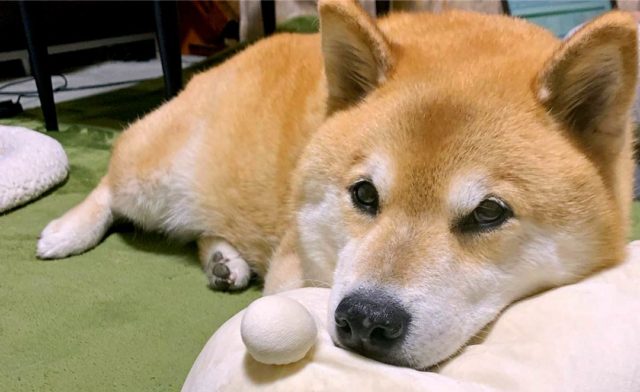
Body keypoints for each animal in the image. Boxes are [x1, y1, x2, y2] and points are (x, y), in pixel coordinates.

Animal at [37, 0, 636, 370]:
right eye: (364, 195)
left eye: (489, 212)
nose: (366, 321)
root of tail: (233, 57)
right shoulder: (291, 268)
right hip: (155, 180)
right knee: (110, 182)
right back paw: (66, 231)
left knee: (208, 227)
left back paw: (224, 261)